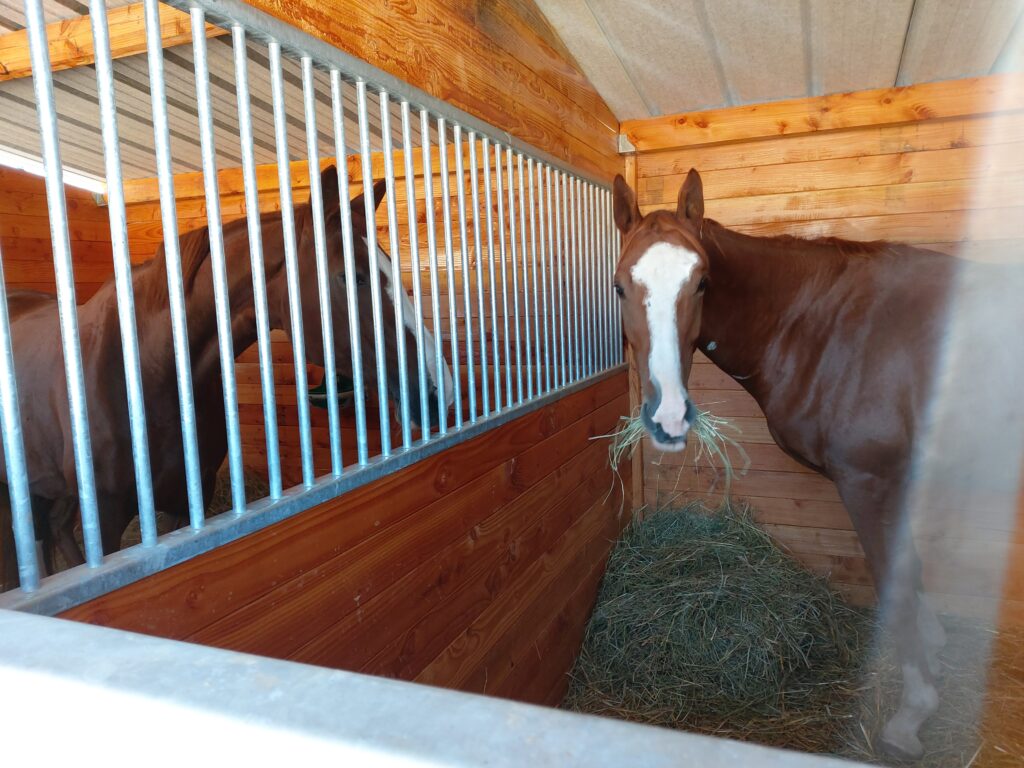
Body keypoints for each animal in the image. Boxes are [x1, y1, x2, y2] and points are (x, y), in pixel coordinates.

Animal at [612, 169, 955, 759]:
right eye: (618, 287)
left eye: (702, 282)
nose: (670, 414)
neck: (821, 325)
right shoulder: (900, 478)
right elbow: (911, 567)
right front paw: (933, 652)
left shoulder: (870, 480)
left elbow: (895, 575)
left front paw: (913, 710)